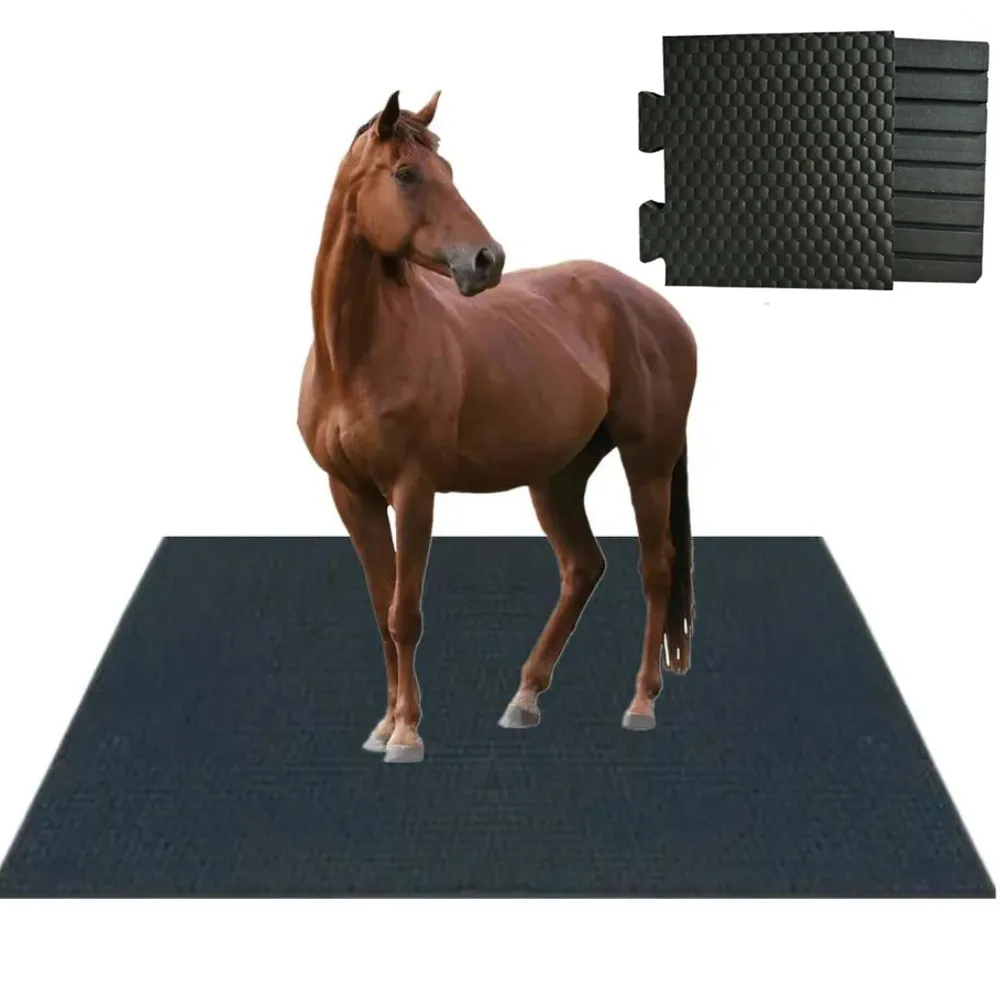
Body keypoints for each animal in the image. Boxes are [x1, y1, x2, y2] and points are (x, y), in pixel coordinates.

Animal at [298, 91, 698, 763]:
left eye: (449, 171)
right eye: (406, 175)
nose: (487, 261)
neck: (359, 353)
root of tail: (663, 312)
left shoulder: (414, 491)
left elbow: (406, 613)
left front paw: (407, 732)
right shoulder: (351, 495)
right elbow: (382, 610)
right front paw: (384, 724)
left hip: (648, 464)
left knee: (656, 570)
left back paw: (641, 703)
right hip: (557, 478)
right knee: (583, 567)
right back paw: (526, 697)